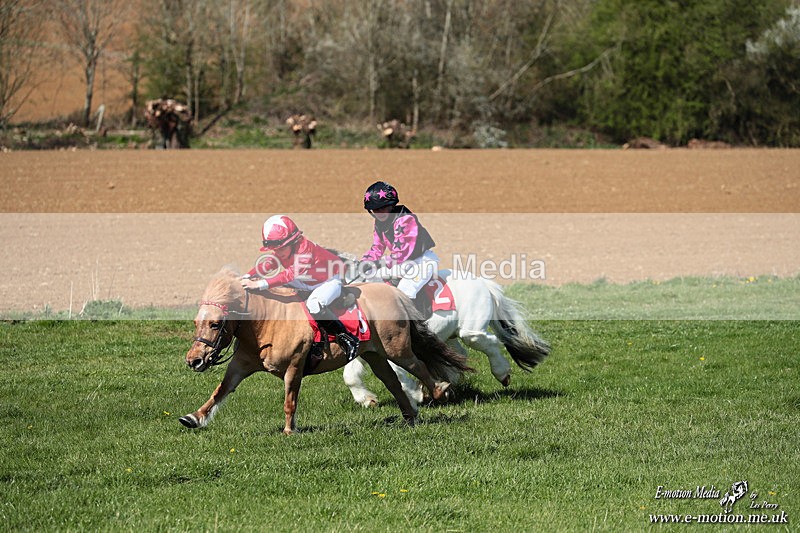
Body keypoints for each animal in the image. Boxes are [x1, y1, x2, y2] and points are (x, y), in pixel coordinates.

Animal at [180, 268, 472, 434]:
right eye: (196, 322)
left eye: (215, 323)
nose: (194, 360)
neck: (267, 323)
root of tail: (395, 293)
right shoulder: (240, 365)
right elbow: (220, 392)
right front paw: (193, 418)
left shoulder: (295, 365)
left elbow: (290, 401)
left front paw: (289, 431)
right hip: (375, 355)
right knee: (393, 382)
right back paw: (409, 417)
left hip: (396, 348)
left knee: (419, 366)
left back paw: (440, 391)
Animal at [343, 269, 550, 408]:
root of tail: (483, 283)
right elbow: (350, 375)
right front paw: (367, 399)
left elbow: (399, 370)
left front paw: (415, 394)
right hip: (449, 336)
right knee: (459, 355)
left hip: (470, 331)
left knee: (488, 342)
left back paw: (502, 373)